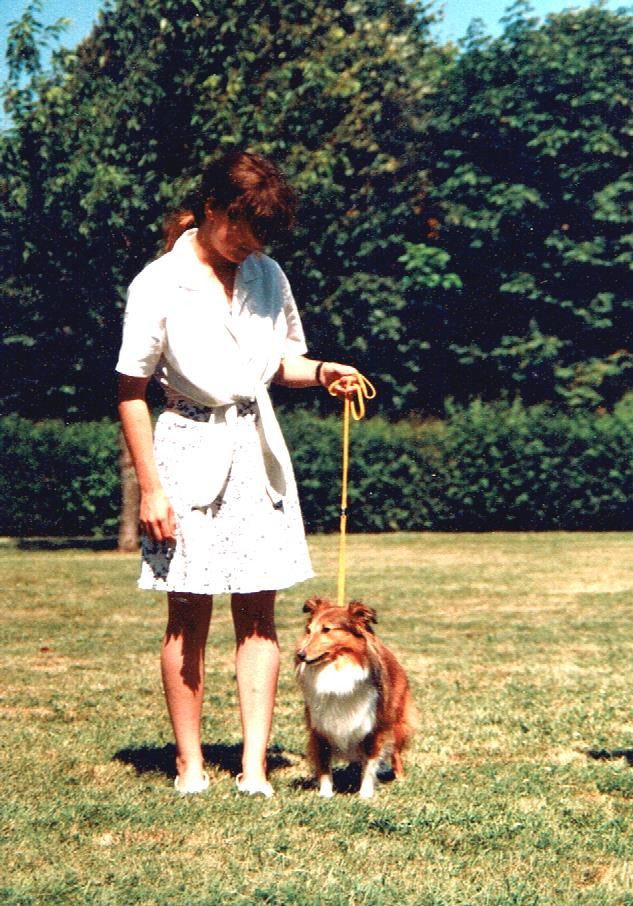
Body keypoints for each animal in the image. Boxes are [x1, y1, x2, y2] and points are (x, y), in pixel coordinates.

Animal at [295, 596, 413, 799]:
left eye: (327, 629)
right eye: (308, 630)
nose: (300, 655)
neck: (337, 667)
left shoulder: (373, 726)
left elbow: (371, 762)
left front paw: (365, 793)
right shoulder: (320, 727)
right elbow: (324, 764)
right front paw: (326, 794)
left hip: (396, 720)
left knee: (395, 752)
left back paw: (401, 778)